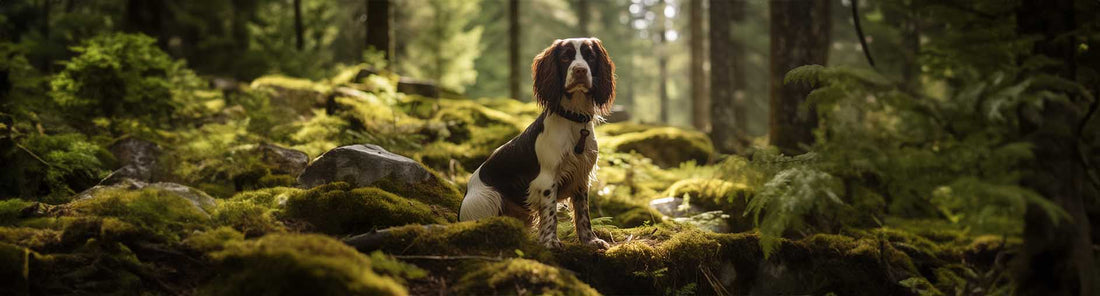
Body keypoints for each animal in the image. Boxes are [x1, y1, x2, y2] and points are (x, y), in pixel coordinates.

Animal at [453, 37, 611, 248]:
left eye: (590, 56)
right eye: (565, 57)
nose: (580, 70)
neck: (573, 118)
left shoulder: (581, 177)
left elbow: (582, 213)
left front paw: (590, 240)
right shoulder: (547, 178)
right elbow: (551, 213)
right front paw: (551, 241)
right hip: (488, 197)